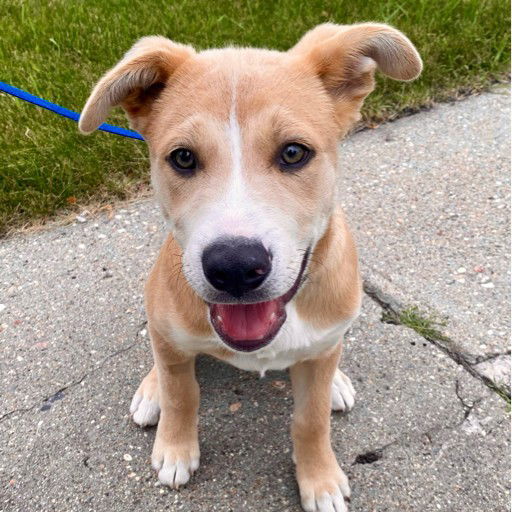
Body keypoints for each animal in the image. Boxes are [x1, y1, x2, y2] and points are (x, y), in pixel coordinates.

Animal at [79, 23, 420, 512]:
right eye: (183, 157)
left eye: (294, 152)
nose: (235, 268)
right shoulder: (173, 341)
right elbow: (182, 394)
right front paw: (175, 447)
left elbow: (311, 419)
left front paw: (319, 478)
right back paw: (151, 390)